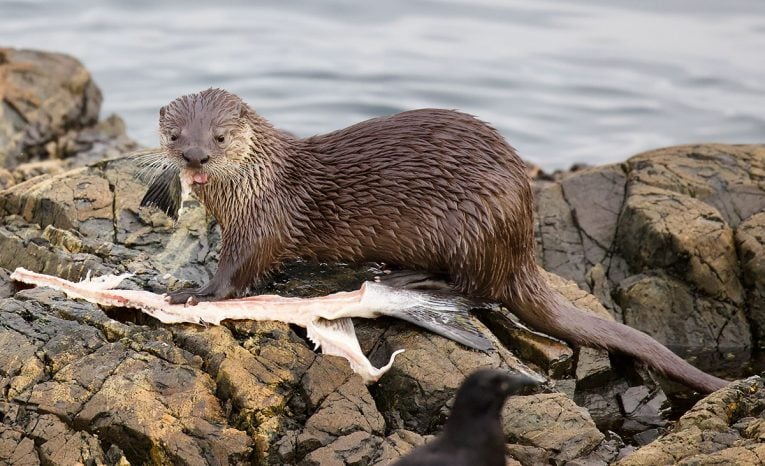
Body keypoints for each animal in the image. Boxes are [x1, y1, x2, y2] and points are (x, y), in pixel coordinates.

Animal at [139, 87, 728, 394]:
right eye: (174, 134)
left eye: (219, 137)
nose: (194, 156)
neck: (257, 182)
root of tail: (521, 244)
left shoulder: (264, 220)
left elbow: (240, 269)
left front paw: (193, 293)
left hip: (472, 227)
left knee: (475, 289)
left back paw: (405, 277)